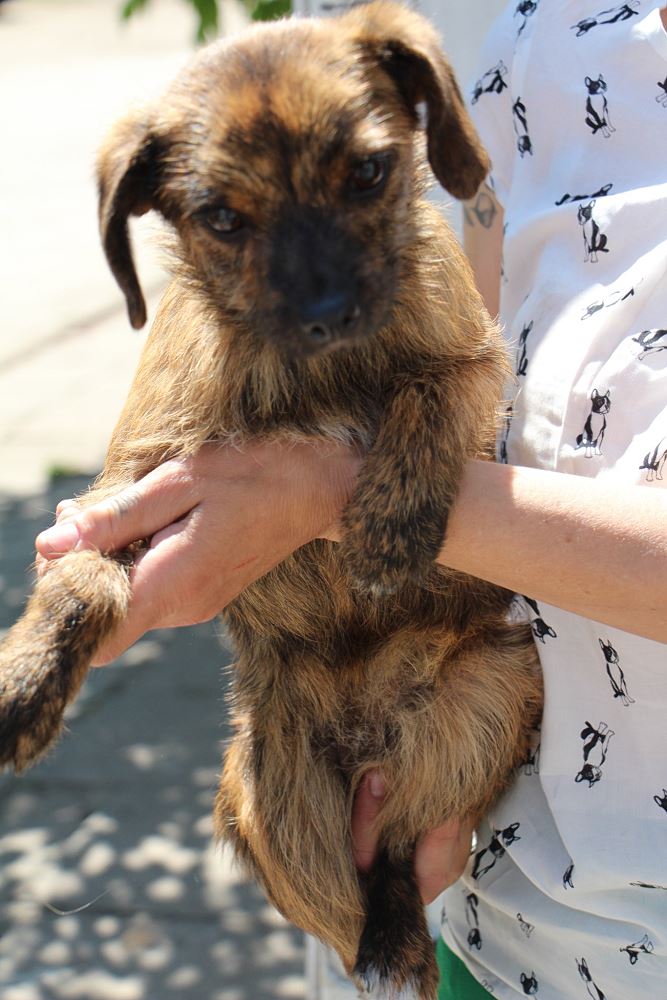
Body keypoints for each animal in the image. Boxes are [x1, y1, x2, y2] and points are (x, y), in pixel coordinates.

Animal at [0, 4, 542, 996]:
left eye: (369, 173)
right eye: (220, 217)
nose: (327, 312)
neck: (314, 372)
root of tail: (368, 734)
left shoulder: (471, 364)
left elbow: (424, 398)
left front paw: (387, 527)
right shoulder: (126, 485)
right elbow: (80, 581)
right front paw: (26, 679)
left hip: (492, 688)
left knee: (396, 853)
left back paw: (398, 938)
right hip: (258, 792)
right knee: (347, 896)